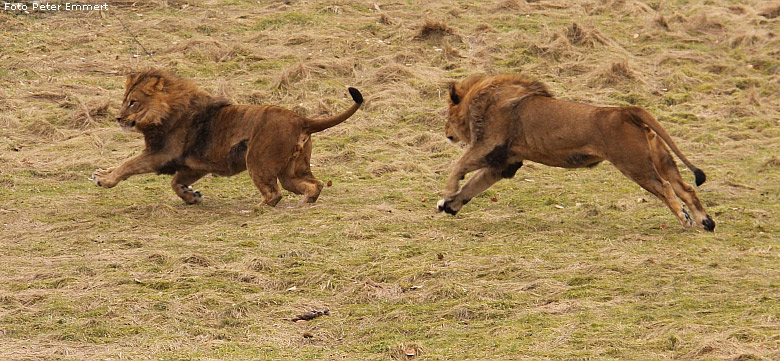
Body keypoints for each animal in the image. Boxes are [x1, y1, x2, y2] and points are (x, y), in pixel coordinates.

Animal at [90, 69, 364, 205]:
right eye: (124, 101)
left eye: (133, 102)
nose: (118, 118)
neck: (165, 112)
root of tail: (300, 118)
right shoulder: (193, 165)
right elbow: (176, 183)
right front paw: (192, 196)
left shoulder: (161, 154)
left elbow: (129, 164)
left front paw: (104, 178)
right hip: (292, 170)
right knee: (313, 184)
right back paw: (306, 201)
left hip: (257, 161)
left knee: (273, 195)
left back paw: (255, 210)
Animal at [436, 73, 716, 231]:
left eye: (447, 116)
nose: (446, 132)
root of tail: (626, 111)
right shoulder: (505, 162)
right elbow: (473, 185)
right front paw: (450, 205)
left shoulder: (488, 145)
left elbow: (459, 167)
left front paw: (447, 195)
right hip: (660, 160)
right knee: (686, 189)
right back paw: (706, 222)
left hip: (635, 164)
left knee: (666, 188)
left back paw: (685, 219)